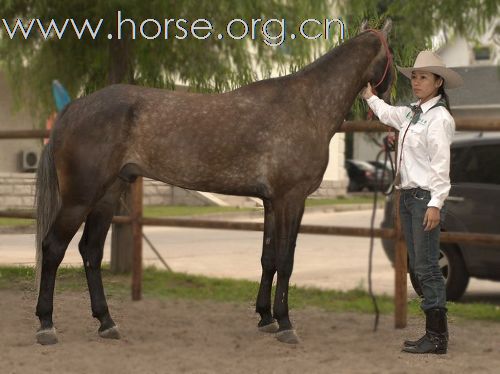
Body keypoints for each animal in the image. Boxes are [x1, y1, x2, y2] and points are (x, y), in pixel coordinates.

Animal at [34, 19, 394, 344]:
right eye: (392, 53)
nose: (394, 92)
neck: (307, 106)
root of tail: (72, 109)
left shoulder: (270, 201)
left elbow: (268, 259)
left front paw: (266, 317)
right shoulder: (291, 199)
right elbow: (286, 260)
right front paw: (286, 323)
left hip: (108, 194)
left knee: (90, 251)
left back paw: (107, 322)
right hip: (81, 197)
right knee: (53, 248)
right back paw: (46, 326)